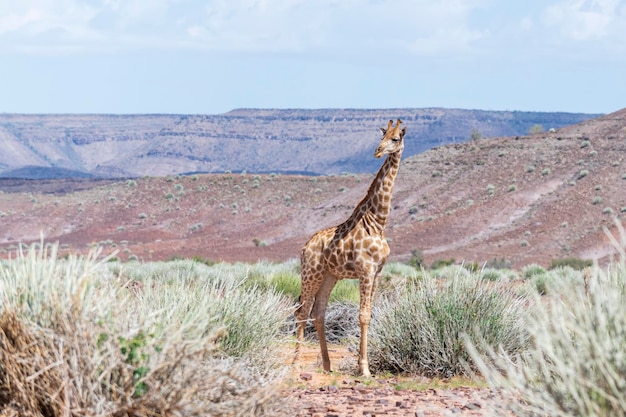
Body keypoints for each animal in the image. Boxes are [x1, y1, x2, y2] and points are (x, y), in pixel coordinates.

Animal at [292, 118, 404, 376]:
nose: (377, 151)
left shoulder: (377, 272)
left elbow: (369, 314)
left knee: (318, 313)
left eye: (395, 138)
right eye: (382, 137)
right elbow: (362, 316)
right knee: (302, 311)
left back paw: (327, 365)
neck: (378, 221)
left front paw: (364, 366)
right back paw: (295, 363)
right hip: (311, 273)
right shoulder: (365, 270)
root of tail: (305, 247)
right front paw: (364, 369)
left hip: (329, 275)